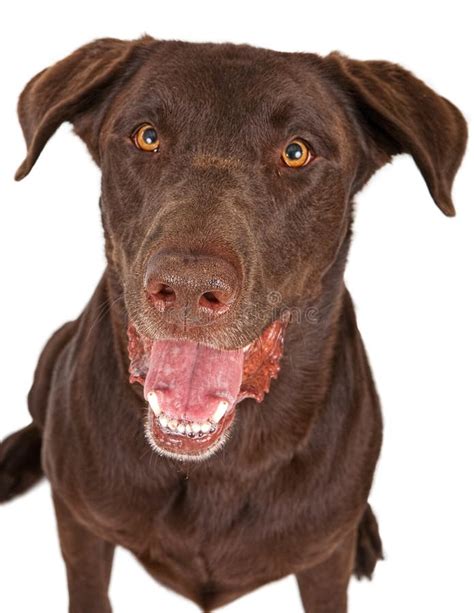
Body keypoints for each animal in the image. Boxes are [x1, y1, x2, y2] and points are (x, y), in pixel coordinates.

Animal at [0, 38, 466, 612]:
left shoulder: (322, 560)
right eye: (147, 137)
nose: (187, 288)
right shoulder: (81, 526)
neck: (215, 466)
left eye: (296, 152)